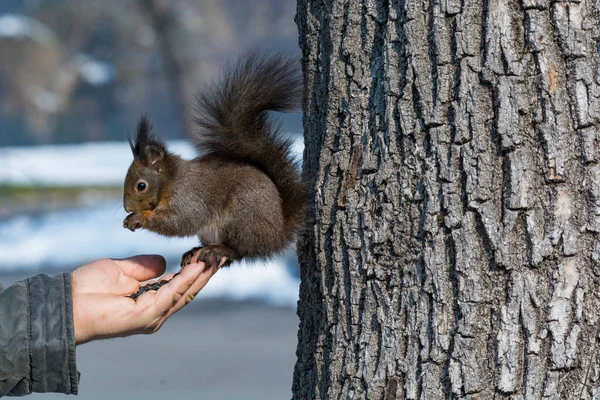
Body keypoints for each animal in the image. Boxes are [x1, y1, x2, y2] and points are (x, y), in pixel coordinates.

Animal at [123, 51, 308, 296]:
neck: (171, 182)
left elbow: (181, 221)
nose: (127, 208)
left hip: (242, 218)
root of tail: (277, 235)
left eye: (141, 185)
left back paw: (219, 249)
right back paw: (195, 250)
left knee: (239, 251)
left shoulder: (189, 198)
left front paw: (140, 218)